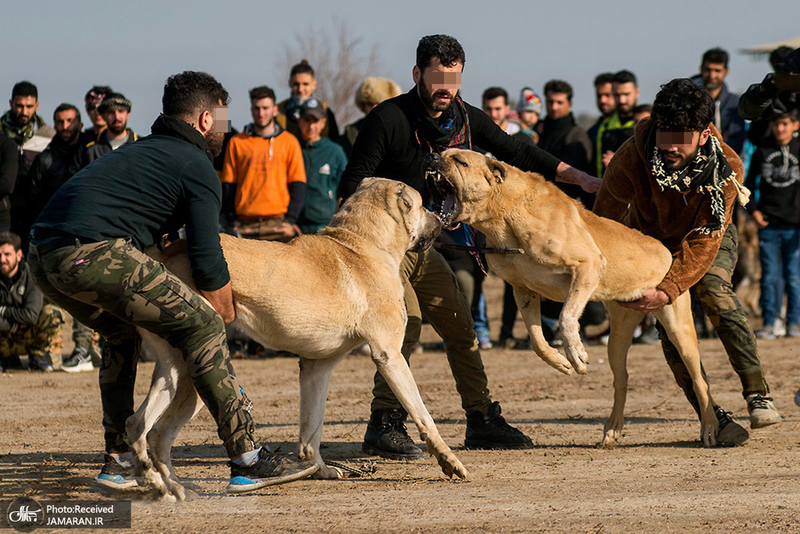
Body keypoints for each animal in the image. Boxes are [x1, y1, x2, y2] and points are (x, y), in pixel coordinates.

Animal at [428, 149, 720, 450]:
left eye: (461, 161)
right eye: (443, 152)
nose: (432, 157)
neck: (502, 214)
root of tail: (667, 250)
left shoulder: (587, 265)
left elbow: (566, 315)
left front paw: (576, 353)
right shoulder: (523, 289)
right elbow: (537, 341)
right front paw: (561, 361)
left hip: (679, 330)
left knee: (700, 380)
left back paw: (710, 427)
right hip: (617, 338)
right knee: (622, 380)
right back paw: (612, 429)